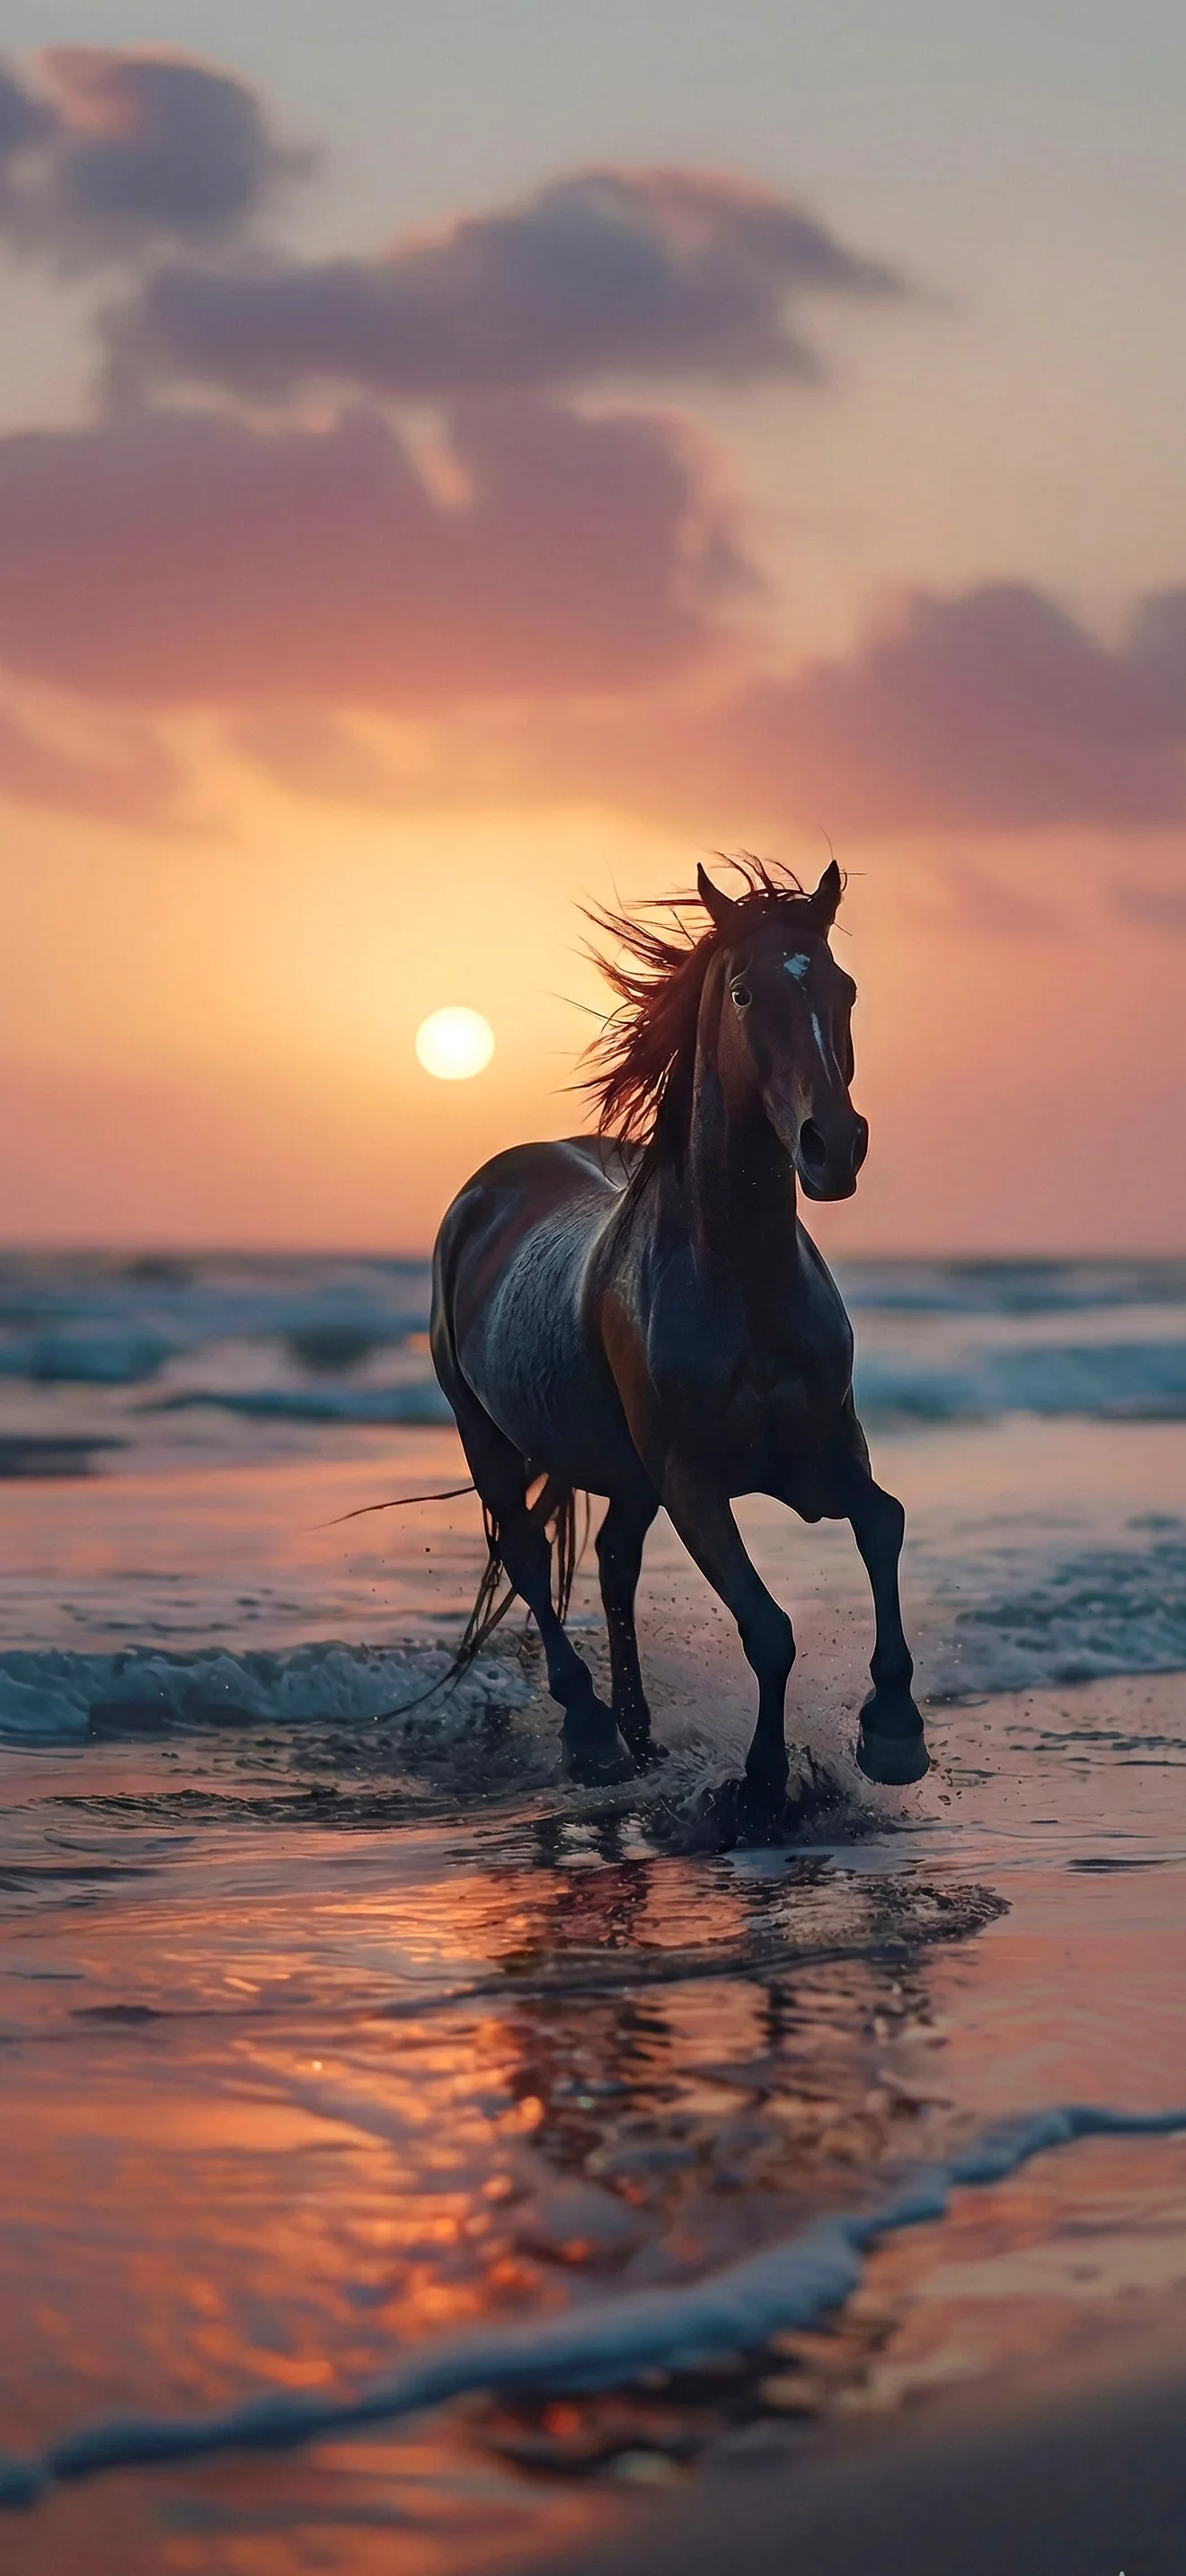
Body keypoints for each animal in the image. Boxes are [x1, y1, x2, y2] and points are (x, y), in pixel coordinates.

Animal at [429, 856, 928, 1822]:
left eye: (845, 988)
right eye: (741, 993)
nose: (833, 1146)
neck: (742, 1282)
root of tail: (483, 1192)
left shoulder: (822, 1456)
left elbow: (882, 1523)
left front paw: (894, 1733)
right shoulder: (693, 1481)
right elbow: (768, 1629)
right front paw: (764, 1782)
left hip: (627, 1476)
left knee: (613, 1561)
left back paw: (640, 1736)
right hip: (489, 1437)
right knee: (527, 1554)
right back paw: (592, 1736)